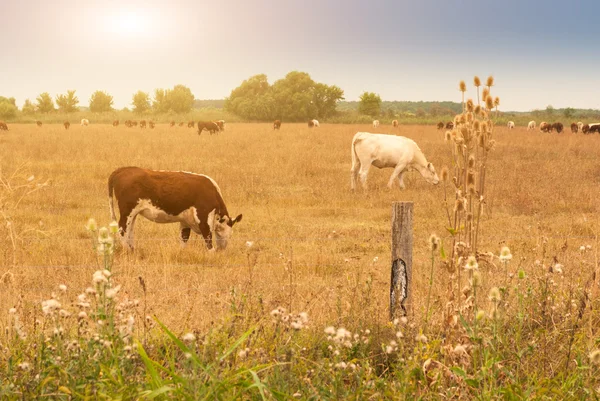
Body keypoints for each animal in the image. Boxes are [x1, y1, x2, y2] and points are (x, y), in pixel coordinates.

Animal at [108, 166, 241, 250]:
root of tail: (123, 169)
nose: (222, 249)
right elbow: (208, 239)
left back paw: (132, 249)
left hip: (133, 213)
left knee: (129, 230)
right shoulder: (203, 218)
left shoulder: (185, 221)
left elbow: (184, 238)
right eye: (225, 232)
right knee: (122, 229)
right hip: (127, 211)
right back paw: (127, 250)